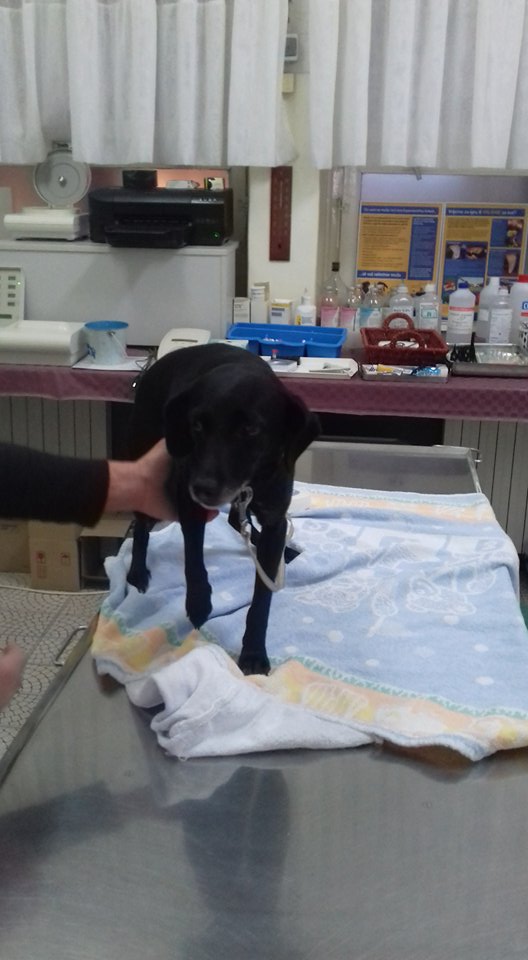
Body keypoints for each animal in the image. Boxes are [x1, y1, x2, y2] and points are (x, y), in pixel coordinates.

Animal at [126, 342, 320, 675]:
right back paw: (137, 572)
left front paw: (253, 652)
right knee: (141, 527)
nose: (203, 487)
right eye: (196, 425)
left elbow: (262, 598)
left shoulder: (274, 518)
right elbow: (193, 559)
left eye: (251, 429)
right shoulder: (188, 502)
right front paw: (199, 603)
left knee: (235, 521)